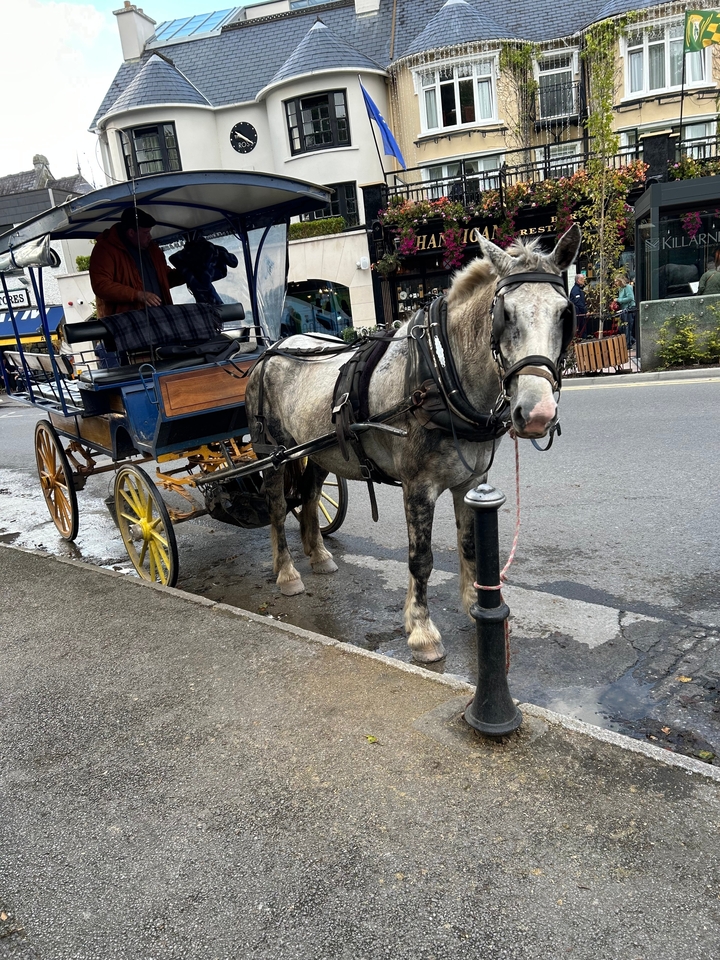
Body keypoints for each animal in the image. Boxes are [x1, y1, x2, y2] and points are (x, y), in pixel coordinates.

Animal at [245, 225, 581, 663]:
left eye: (564, 313)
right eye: (504, 314)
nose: (537, 413)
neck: (439, 371)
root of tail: (269, 350)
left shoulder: (470, 483)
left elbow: (469, 546)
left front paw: (475, 606)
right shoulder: (418, 486)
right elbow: (421, 559)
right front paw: (422, 631)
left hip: (317, 452)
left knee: (311, 497)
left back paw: (318, 555)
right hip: (272, 454)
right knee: (277, 505)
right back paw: (286, 572)